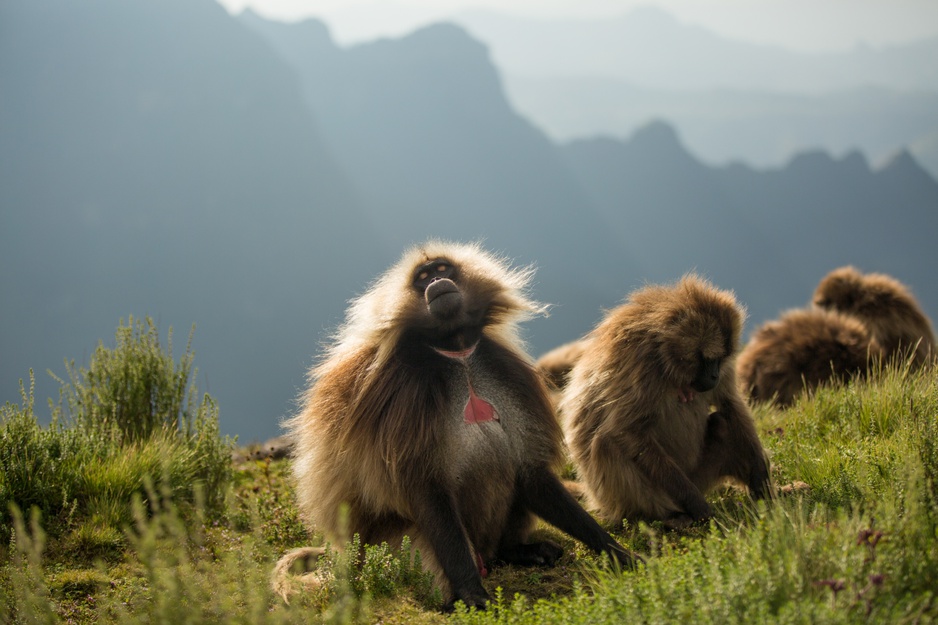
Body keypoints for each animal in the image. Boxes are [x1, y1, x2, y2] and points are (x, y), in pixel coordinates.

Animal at [270, 240, 636, 608]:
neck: (458, 354)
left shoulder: (505, 374)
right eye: (422, 277)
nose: (436, 283)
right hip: (387, 545)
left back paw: (518, 551)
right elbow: (425, 488)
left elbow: (531, 473)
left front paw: (617, 552)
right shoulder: (407, 397)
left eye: (443, 269)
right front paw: (472, 592)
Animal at [556, 276, 768, 524]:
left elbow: (730, 405)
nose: (715, 376)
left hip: (698, 475)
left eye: (721, 358)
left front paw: (761, 477)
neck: (666, 355)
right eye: (708, 359)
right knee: (606, 443)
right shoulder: (642, 366)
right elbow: (627, 431)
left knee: (722, 423)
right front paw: (696, 503)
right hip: (633, 495)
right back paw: (670, 516)